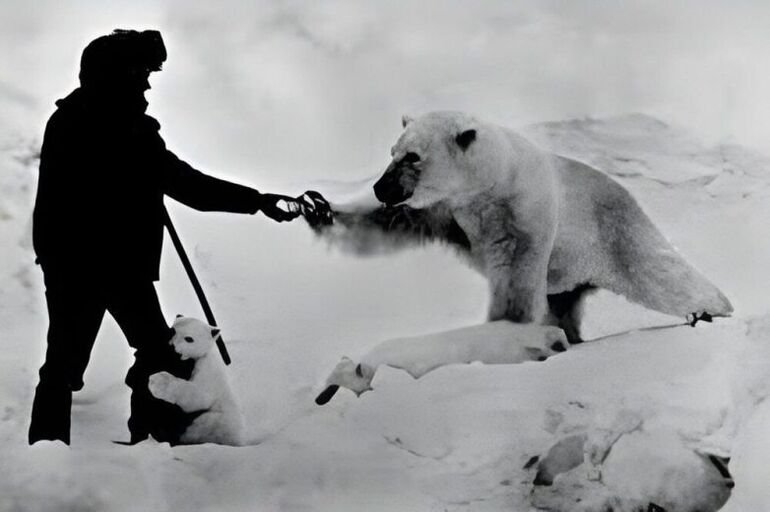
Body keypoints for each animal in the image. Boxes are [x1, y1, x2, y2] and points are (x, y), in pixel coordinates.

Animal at [148, 316, 244, 444]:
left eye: (189, 338)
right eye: (173, 331)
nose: (173, 347)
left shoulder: (208, 370)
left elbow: (200, 396)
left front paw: (157, 381)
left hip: (218, 421)